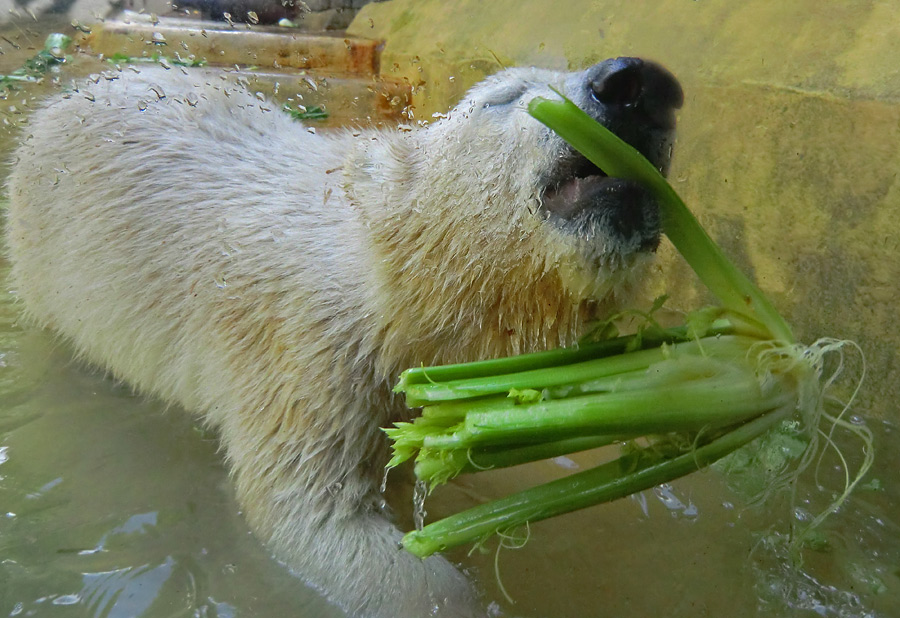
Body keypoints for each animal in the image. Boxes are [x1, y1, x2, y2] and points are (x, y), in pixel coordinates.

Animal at [5, 56, 684, 612]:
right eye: (505, 95)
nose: (635, 84)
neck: (387, 276)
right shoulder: (307, 348)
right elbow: (305, 509)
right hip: (49, 266)